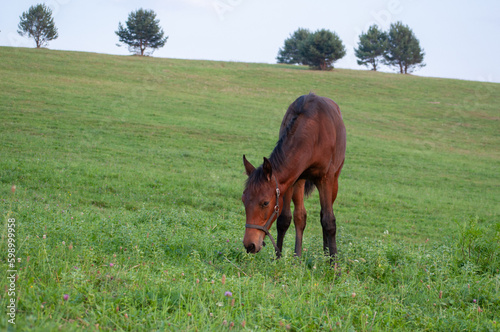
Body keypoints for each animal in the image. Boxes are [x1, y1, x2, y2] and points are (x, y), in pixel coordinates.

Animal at [241, 92, 344, 258]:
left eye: (265, 203)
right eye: (243, 200)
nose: (249, 245)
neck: (313, 133)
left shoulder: (326, 179)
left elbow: (329, 221)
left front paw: (333, 261)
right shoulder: (290, 180)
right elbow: (284, 219)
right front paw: (278, 258)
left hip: (334, 181)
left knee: (323, 215)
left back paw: (326, 252)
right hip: (300, 182)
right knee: (300, 217)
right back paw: (298, 257)